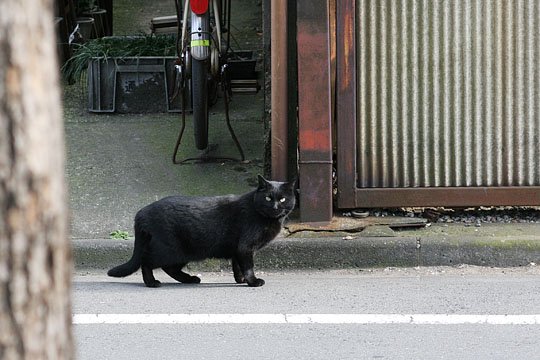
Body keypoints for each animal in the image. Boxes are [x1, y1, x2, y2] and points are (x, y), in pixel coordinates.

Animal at [106, 174, 296, 286]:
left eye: (283, 199)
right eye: (268, 198)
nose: (275, 207)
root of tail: (142, 212)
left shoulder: (237, 249)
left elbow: (237, 265)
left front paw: (240, 280)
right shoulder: (245, 247)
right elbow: (248, 266)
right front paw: (253, 281)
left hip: (182, 253)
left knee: (170, 268)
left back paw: (190, 279)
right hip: (171, 249)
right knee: (147, 261)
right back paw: (152, 282)